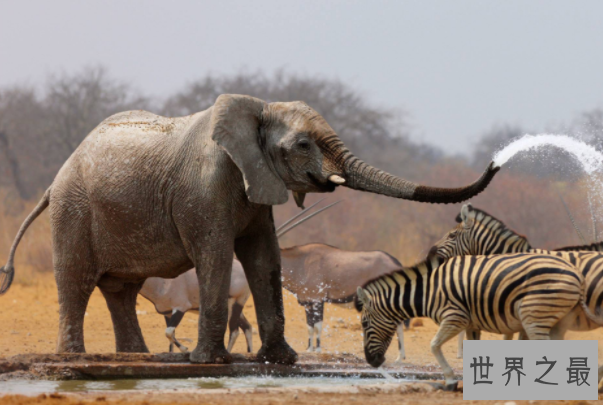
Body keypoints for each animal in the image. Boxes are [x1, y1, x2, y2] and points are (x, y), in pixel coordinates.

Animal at [0, 94, 500, 362]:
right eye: (303, 145)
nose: (497, 160)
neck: (258, 108)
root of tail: (55, 179)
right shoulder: (204, 188)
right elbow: (217, 255)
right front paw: (209, 362)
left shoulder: (257, 184)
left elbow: (264, 257)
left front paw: (281, 360)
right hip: (73, 209)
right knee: (76, 281)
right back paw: (74, 358)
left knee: (121, 289)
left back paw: (136, 358)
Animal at [356, 249, 592, 388]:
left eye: (364, 323)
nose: (372, 362)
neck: (429, 291)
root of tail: (576, 273)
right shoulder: (471, 323)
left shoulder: (454, 316)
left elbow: (434, 345)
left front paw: (451, 380)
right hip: (557, 319)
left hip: (533, 316)